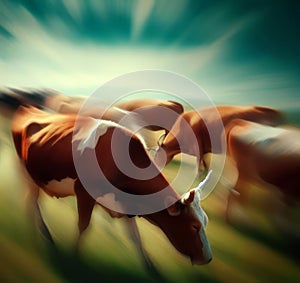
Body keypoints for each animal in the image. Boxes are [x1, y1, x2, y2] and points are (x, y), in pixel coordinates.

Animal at [12, 105, 213, 268]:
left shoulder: (126, 204)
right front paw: (74, 256)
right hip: (25, 172)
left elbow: (135, 237)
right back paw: (42, 235)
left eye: (205, 222)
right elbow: (83, 226)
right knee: (30, 202)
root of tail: (30, 109)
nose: (209, 258)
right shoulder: (85, 195)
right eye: (194, 226)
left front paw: (150, 266)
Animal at [154, 105, 282, 170]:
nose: (156, 168)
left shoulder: (198, 145)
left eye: (156, 155)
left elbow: (198, 162)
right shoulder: (203, 149)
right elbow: (205, 161)